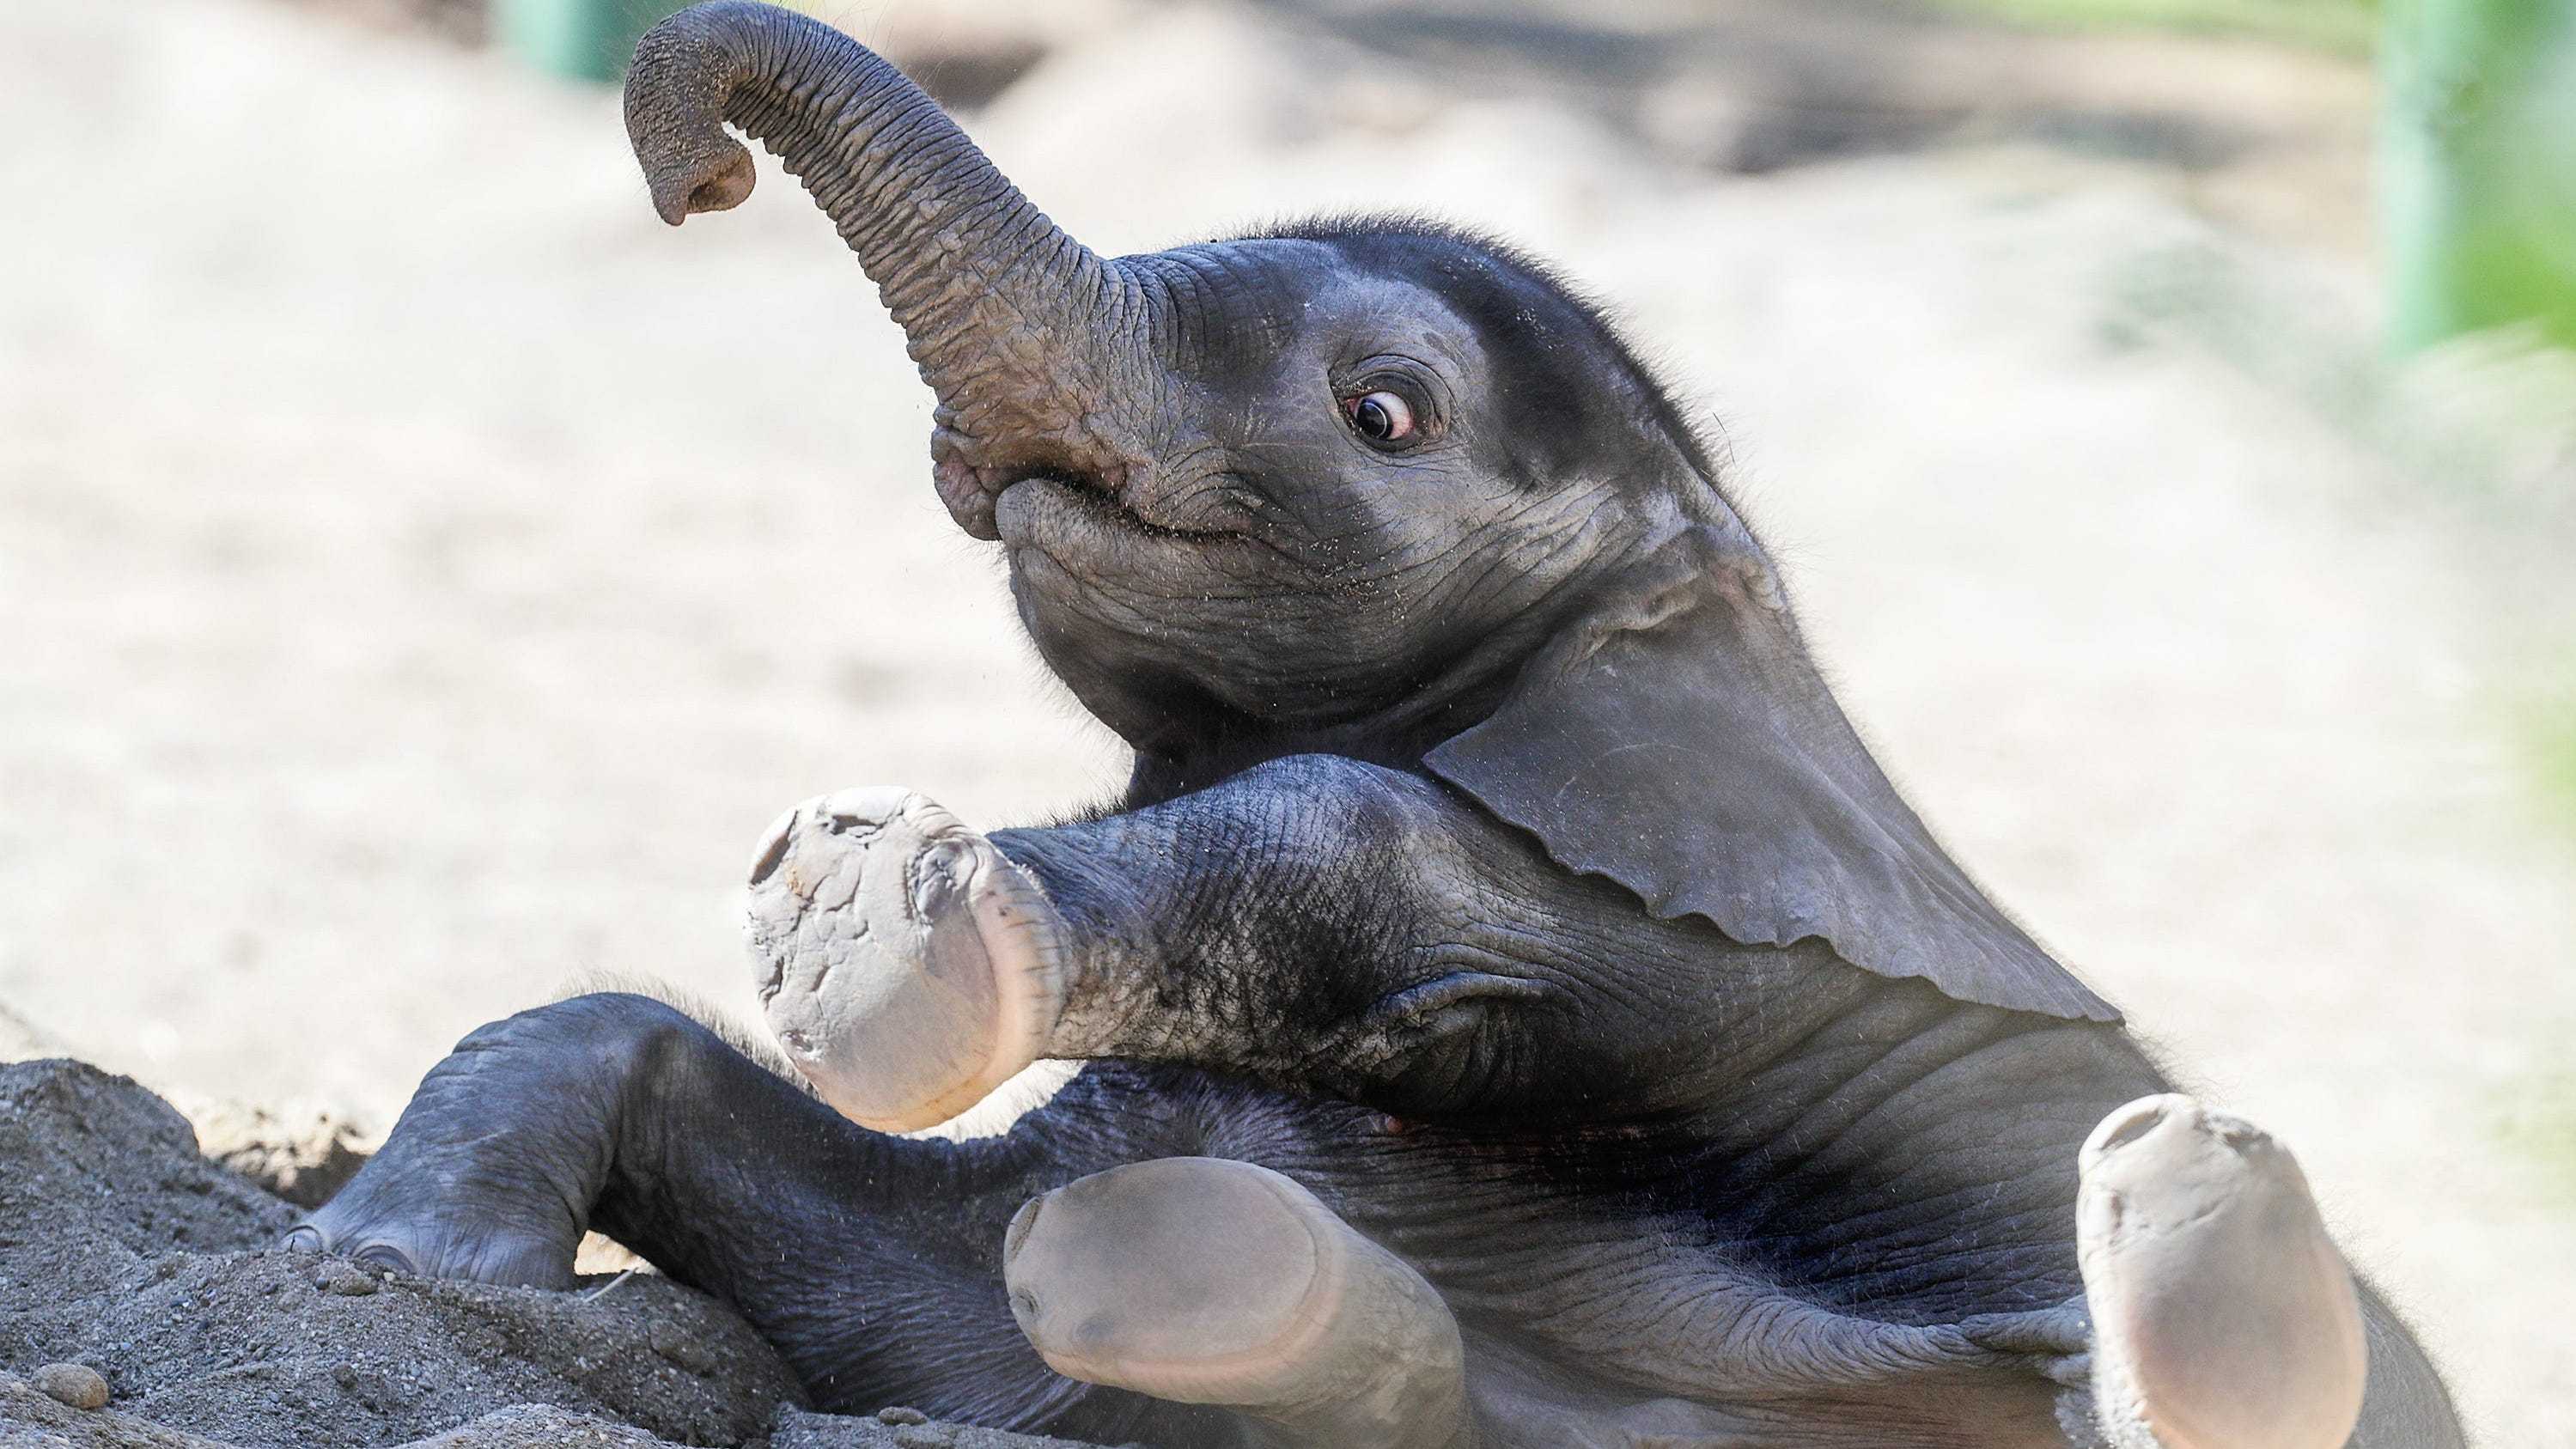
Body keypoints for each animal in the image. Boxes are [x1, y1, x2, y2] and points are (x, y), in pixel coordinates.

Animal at [292, 5, 2463, 1441]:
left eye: (1383, 414)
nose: (698, 173)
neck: (1713, 585)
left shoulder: (1690, 945)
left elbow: (1358, 832)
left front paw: (868, 929)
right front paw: (383, 1276)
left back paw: (2193, 1270)